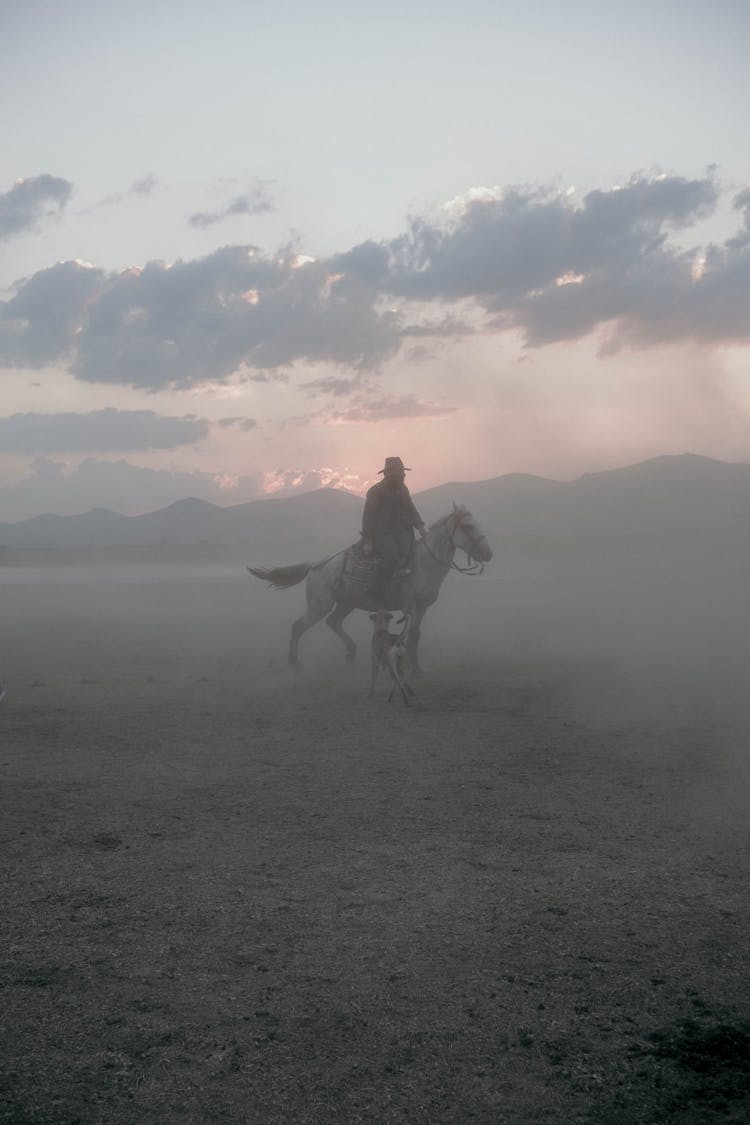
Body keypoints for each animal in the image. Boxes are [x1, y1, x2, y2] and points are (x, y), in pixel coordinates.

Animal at [246, 506, 492, 670]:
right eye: (468, 526)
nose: (488, 553)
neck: (424, 563)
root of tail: (316, 565)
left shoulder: (423, 607)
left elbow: (416, 635)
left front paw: (416, 668)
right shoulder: (409, 605)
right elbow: (410, 634)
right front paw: (410, 667)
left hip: (346, 604)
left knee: (333, 622)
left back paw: (351, 653)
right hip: (319, 605)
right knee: (298, 626)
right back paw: (294, 663)